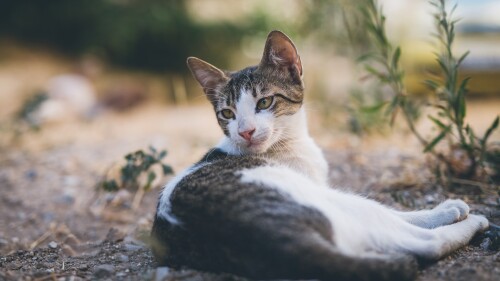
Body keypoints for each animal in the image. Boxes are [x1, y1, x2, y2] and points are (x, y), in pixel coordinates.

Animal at [151, 29, 488, 278]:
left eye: (264, 102)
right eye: (227, 113)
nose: (245, 131)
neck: (290, 145)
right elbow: (396, 213)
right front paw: (447, 210)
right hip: (315, 199)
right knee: (421, 242)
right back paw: (471, 222)